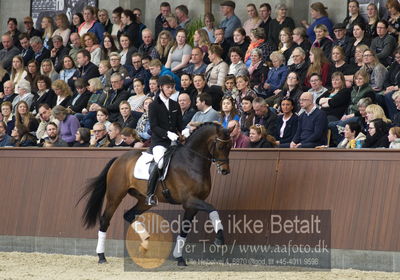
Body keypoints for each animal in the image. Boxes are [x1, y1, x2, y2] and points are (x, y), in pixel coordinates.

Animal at [79, 123, 233, 266]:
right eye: (220, 146)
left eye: (230, 146)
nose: (225, 171)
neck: (191, 161)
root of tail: (118, 159)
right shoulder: (189, 200)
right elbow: (212, 208)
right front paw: (219, 238)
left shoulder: (192, 205)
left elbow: (184, 230)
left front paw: (179, 258)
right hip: (115, 196)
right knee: (105, 220)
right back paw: (101, 256)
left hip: (143, 200)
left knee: (129, 215)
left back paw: (145, 241)